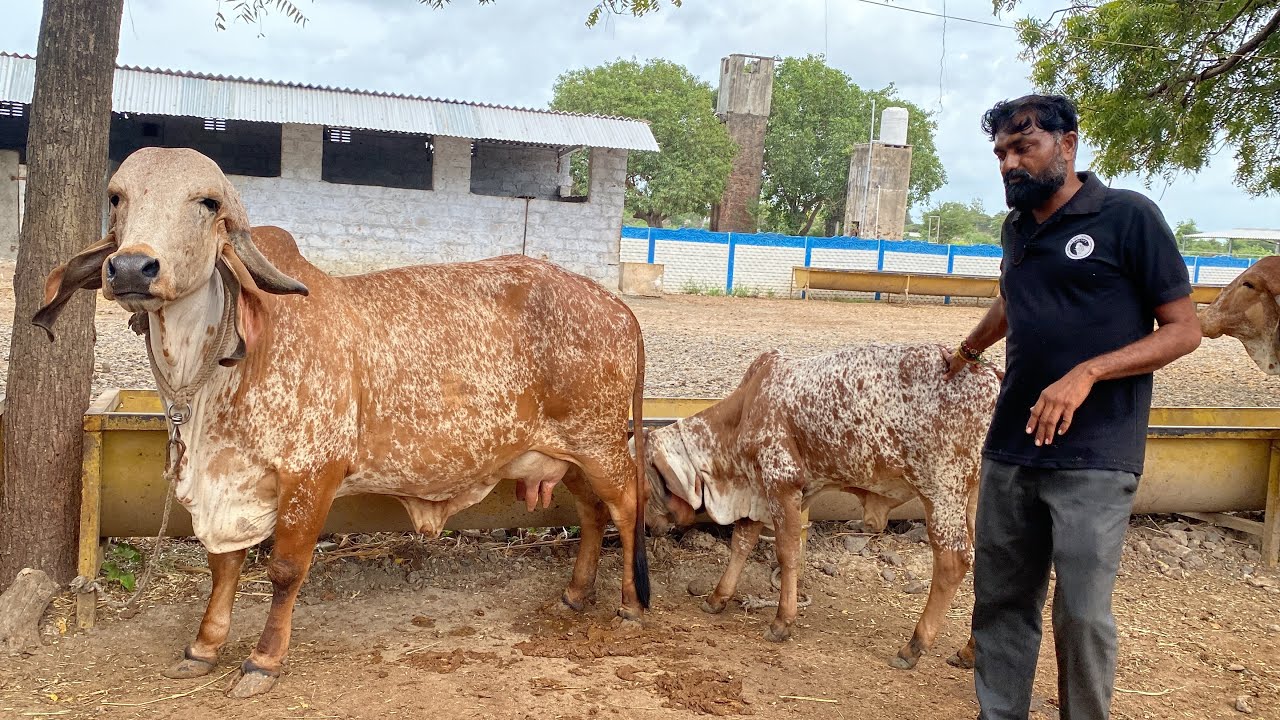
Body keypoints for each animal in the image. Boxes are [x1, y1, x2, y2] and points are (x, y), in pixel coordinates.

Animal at [33, 147, 651, 698]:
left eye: (206, 202)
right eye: (117, 198)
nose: (131, 267)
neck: (217, 372)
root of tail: (619, 308)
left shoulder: (311, 477)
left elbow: (284, 569)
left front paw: (263, 661)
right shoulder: (227, 483)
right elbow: (223, 567)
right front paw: (204, 648)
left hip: (599, 443)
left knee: (626, 505)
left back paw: (629, 605)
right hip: (567, 455)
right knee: (592, 514)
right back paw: (577, 593)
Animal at [638, 342, 1000, 670]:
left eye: (645, 486)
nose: (648, 527)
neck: (744, 412)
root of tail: (991, 374)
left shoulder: (782, 483)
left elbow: (787, 552)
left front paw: (782, 622)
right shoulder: (759, 489)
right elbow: (741, 543)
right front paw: (717, 598)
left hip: (942, 490)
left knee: (953, 561)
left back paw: (913, 647)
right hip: (974, 496)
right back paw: (968, 651)